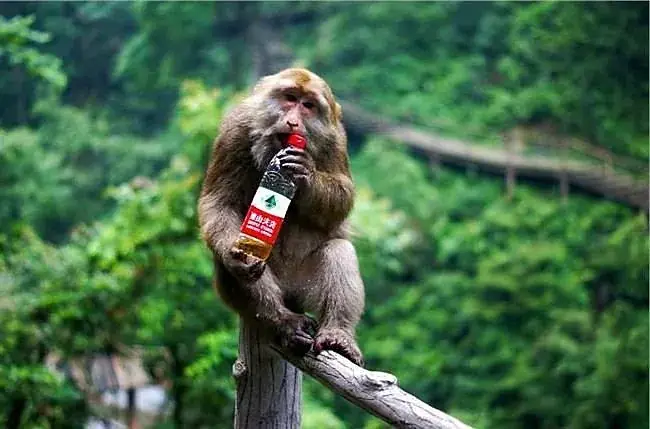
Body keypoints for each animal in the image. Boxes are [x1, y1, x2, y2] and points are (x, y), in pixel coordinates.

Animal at [198, 68, 365, 366]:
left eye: (308, 105)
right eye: (289, 98)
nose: (293, 122)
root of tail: (290, 294)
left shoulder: (336, 139)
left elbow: (343, 196)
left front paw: (305, 174)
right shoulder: (235, 128)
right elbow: (219, 202)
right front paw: (236, 256)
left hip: (305, 285)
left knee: (338, 250)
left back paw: (338, 336)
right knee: (237, 268)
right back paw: (283, 320)